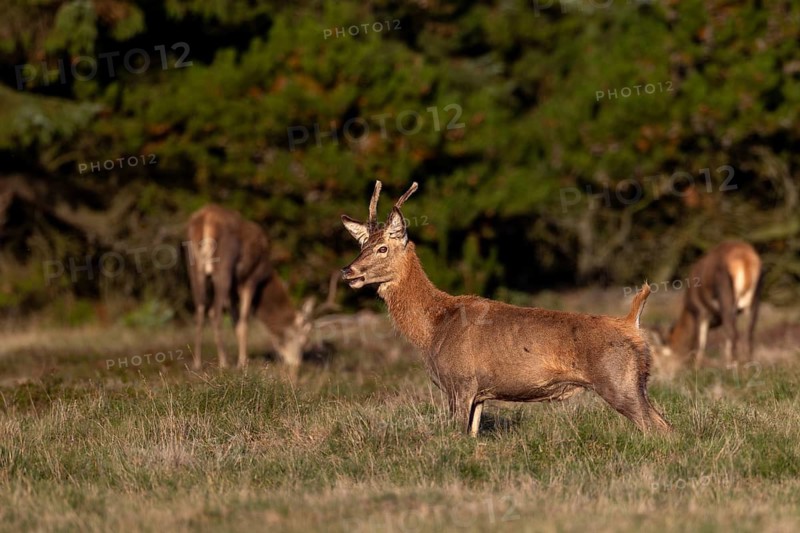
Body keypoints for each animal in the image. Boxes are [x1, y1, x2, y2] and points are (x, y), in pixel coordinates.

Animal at [186, 204, 314, 371]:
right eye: (305, 336)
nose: (297, 363)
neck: (266, 277)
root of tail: (205, 218)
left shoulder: (233, 290)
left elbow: (235, 321)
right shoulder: (250, 280)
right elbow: (244, 321)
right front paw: (242, 363)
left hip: (194, 268)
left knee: (199, 310)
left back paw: (197, 363)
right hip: (223, 266)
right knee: (214, 312)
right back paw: (224, 363)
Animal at [341, 181, 671, 436]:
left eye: (383, 247)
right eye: (361, 246)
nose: (348, 270)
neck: (433, 328)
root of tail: (631, 323)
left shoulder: (461, 382)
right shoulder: (480, 394)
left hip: (618, 380)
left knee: (659, 428)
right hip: (636, 381)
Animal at [659, 241, 762, 369]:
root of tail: (744, 257)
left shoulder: (701, 312)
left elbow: (701, 341)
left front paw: (696, 368)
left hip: (727, 304)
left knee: (733, 334)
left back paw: (732, 367)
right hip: (753, 303)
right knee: (748, 335)